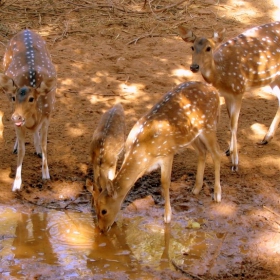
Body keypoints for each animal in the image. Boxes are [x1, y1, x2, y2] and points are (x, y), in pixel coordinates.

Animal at [0, 29, 56, 191]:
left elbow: (44, 144)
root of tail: (26, 30)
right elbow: (22, 150)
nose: (16, 117)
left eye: (31, 99)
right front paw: (16, 183)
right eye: (14, 97)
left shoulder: (47, 114)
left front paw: (46, 174)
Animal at [95, 80, 222, 232]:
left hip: (210, 125)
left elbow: (165, 182)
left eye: (104, 210)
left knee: (216, 154)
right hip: (192, 135)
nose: (101, 230)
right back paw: (196, 189)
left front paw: (167, 217)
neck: (144, 153)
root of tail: (215, 91)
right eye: (94, 206)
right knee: (203, 152)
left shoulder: (167, 153)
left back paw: (217, 194)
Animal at [178, 21, 280, 171]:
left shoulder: (239, 89)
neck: (221, 76)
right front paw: (228, 151)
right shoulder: (226, 95)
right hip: (272, 78)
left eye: (208, 48)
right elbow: (230, 123)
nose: (194, 66)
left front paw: (235, 161)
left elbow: (234, 124)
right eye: (192, 47)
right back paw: (266, 138)